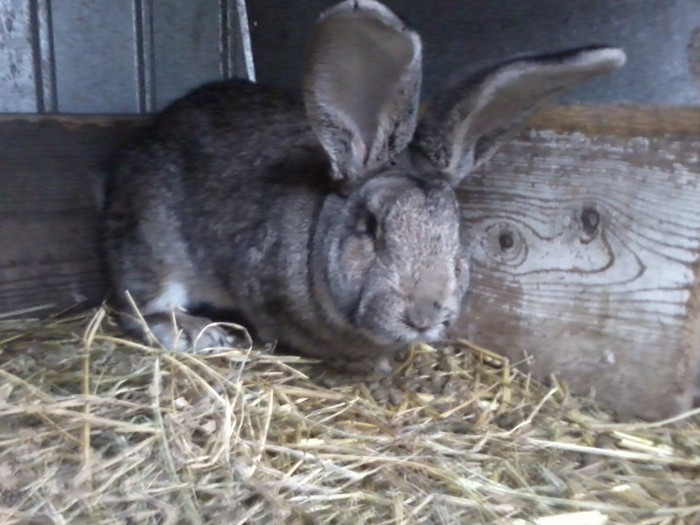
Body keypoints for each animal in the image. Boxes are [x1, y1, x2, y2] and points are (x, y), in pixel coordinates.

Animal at [102, 0, 624, 368]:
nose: (424, 315)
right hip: (155, 244)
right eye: (371, 228)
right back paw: (201, 333)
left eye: (455, 231)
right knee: (139, 306)